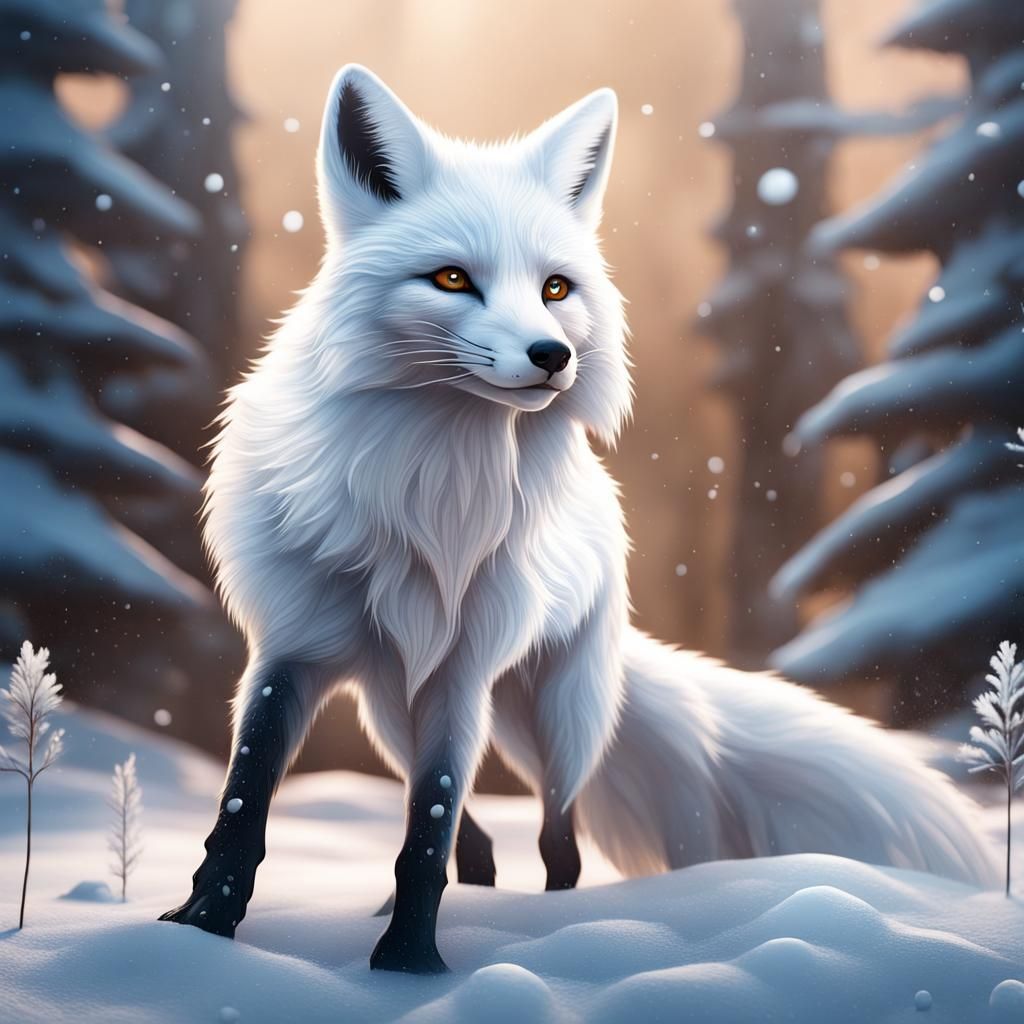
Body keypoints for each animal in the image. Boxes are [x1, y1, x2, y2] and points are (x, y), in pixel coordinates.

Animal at [160, 65, 999, 973]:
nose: (553, 356)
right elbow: (245, 805)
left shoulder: (460, 673)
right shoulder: (292, 653)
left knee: (556, 841)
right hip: (393, 707)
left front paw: (409, 963)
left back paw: (557, 924)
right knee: (481, 843)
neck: (426, 489)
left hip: (554, 720)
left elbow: (428, 829)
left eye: (555, 288)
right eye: (451, 279)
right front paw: (201, 927)